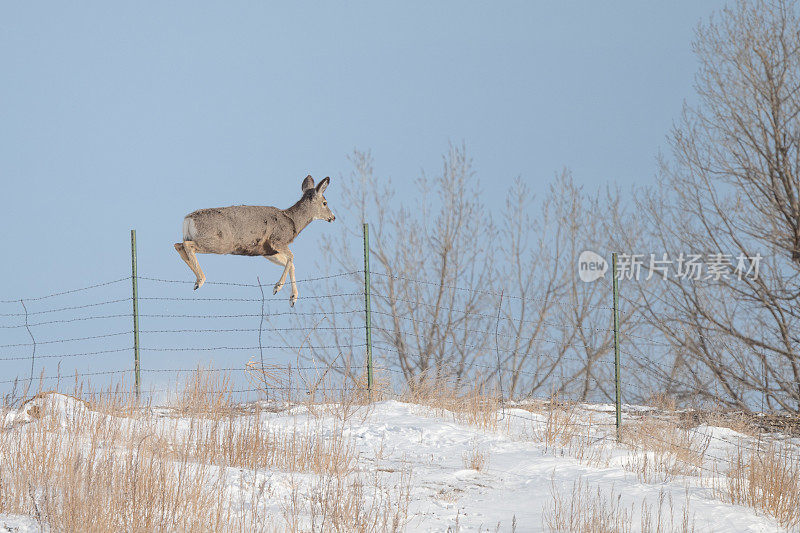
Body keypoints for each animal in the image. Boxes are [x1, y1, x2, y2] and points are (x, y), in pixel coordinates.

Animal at [173, 175, 336, 306]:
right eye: (325, 203)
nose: (333, 217)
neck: (293, 221)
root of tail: (188, 219)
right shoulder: (277, 240)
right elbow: (292, 257)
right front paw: (277, 287)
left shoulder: (267, 251)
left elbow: (291, 264)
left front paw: (293, 298)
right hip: (219, 242)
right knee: (187, 245)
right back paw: (200, 280)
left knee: (178, 245)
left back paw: (196, 280)